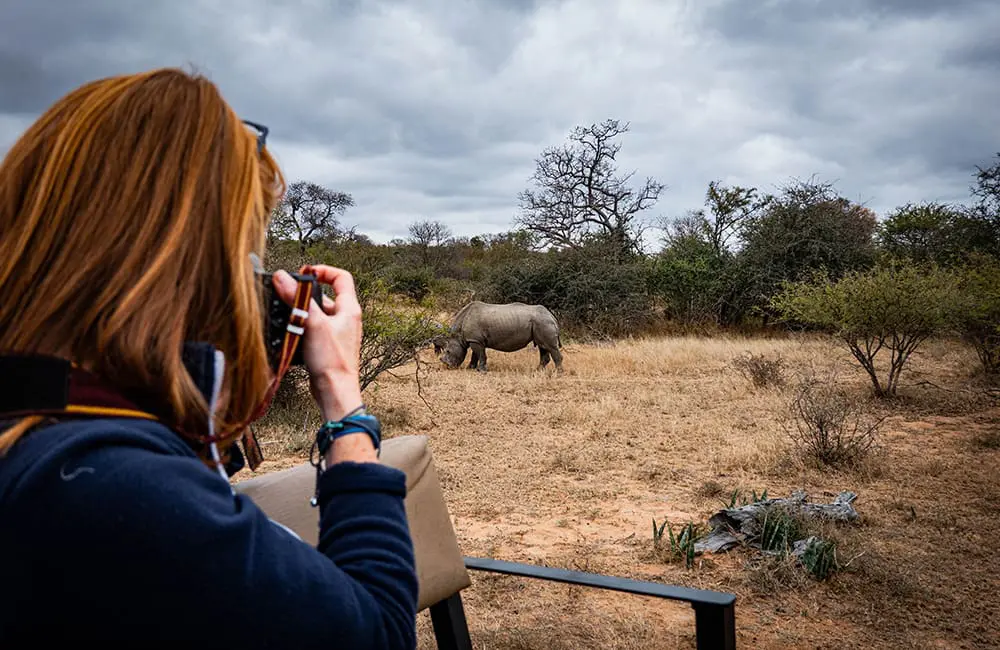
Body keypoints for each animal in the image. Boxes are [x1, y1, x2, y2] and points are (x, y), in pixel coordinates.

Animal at [433, 301, 563, 372]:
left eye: (448, 351)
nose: (446, 365)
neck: (458, 335)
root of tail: (552, 316)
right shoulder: (475, 339)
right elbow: (475, 355)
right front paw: (471, 368)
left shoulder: (476, 340)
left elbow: (481, 355)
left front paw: (481, 371)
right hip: (541, 322)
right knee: (543, 347)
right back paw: (537, 371)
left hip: (543, 322)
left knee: (550, 347)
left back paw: (557, 374)